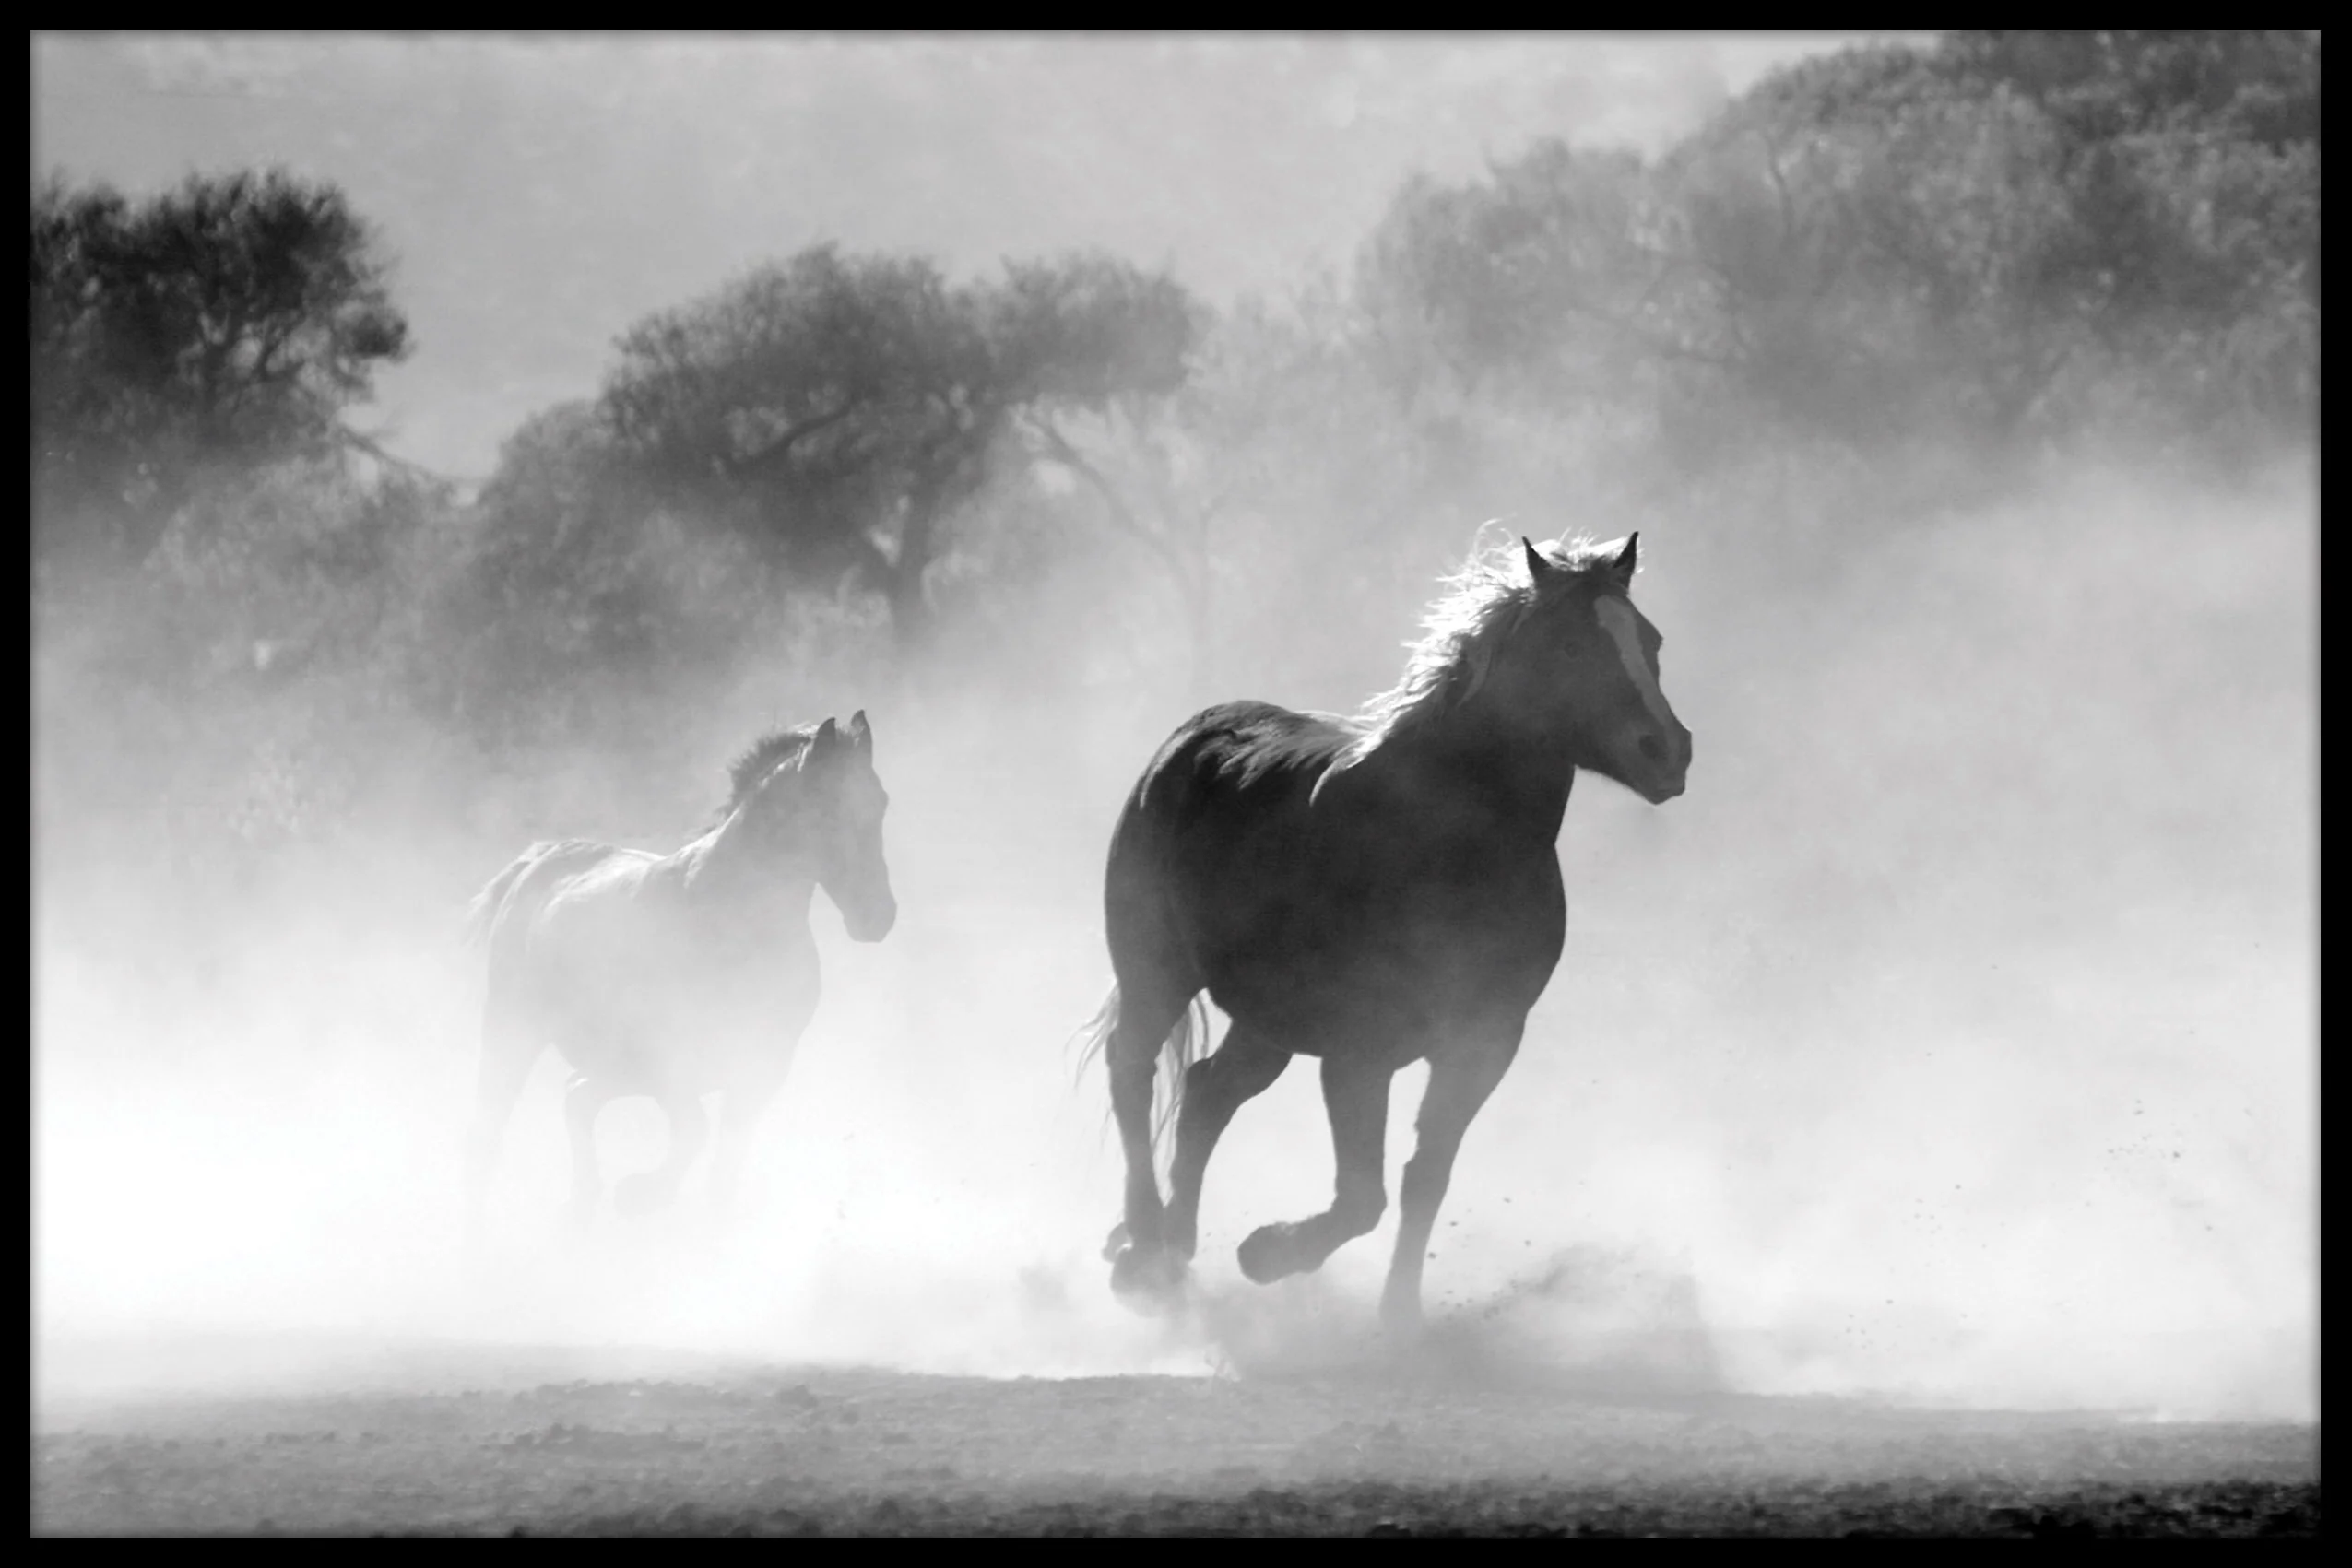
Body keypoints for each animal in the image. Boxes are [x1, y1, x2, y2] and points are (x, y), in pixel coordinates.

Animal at [461, 712, 895, 1228]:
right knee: (491, 1128)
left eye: (881, 801)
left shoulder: (761, 1069)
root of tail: (538, 861)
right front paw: (641, 1194)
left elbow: (723, 1172)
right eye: (828, 808)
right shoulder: (669, 1061)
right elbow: (695, 1131)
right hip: (514, 1029)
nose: (878, 917)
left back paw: (582, 1204)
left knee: (577, 1098)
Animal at [1077, 530, 1691, 1335]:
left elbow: (1423, 1177)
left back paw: (1175, 1248)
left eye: (1649, 640)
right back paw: (1144, 1249)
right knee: (1132, 1071)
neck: (1446, 843)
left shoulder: (1483, 1041)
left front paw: (1398, 1316)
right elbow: (1362, 1195)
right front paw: (1267, 1252)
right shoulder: (1358, 1051)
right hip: (1157, 971)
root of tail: (1188, 739)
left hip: (1266, 1020)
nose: (1668, 751)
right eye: (1568, 645)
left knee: (1206, 1092)